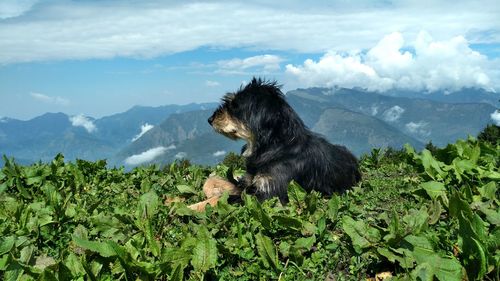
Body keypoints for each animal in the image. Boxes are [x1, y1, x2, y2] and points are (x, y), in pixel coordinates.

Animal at [190, 77, 360, 209]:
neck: (274, 146)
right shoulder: (248, 182)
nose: (210, 119)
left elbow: (222, 199)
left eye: (234, 106)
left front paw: (192, 207)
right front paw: (209, 190)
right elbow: (214, 180)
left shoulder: (269, 196)